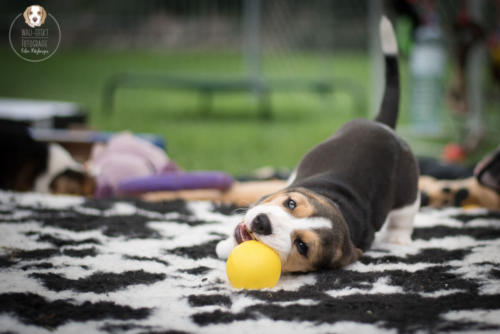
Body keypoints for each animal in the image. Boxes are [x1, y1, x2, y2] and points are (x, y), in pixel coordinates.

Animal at [217, 17, 420, 274]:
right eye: (291, 203)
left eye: (302, 246)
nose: (262, 223)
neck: (342, 208)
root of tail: (383, 126)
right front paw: (225, 245)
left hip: (408, 192)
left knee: (404, 217)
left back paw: (398, 239)